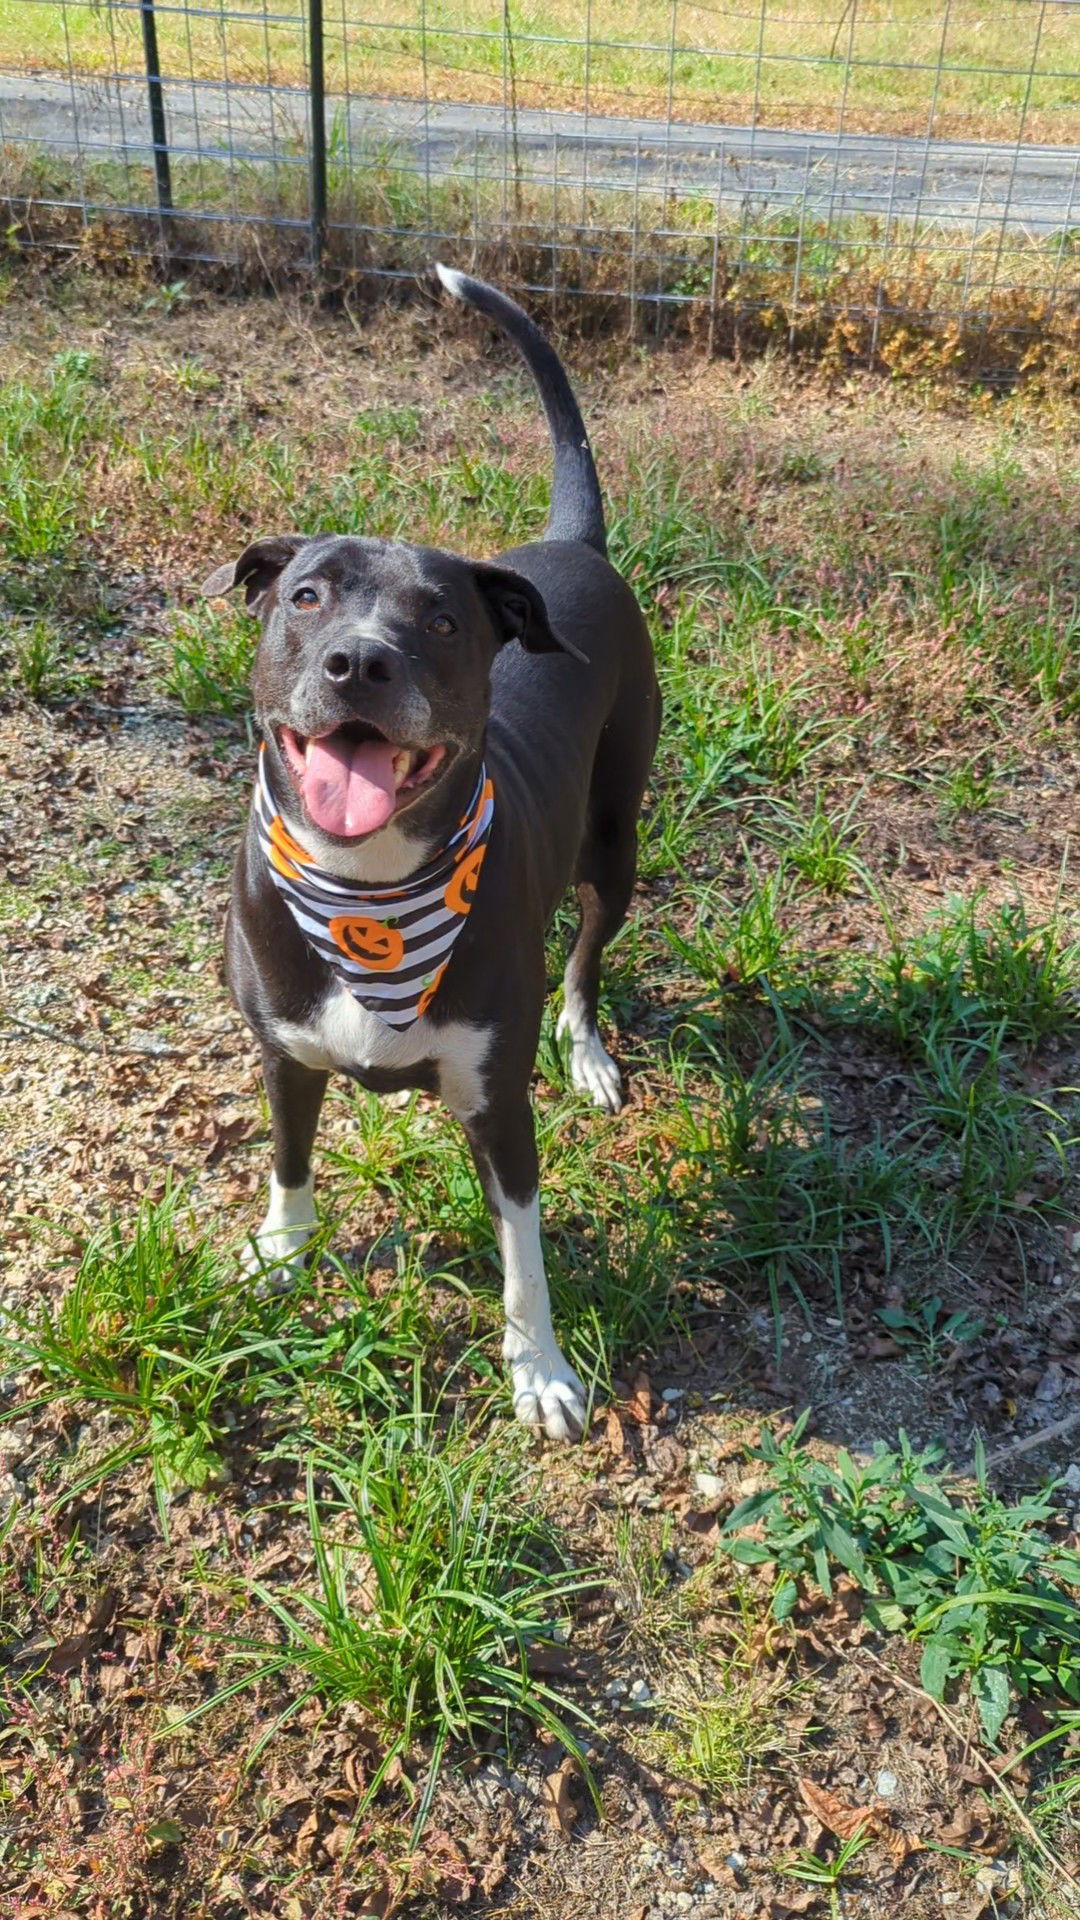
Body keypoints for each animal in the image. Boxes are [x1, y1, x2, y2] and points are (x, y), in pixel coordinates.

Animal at [200, 274, 657, 1443]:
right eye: (305, 595)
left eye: (444, 620)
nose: (358, 663)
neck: (367, 895)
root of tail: (569, 548)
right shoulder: (282, 1054)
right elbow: (289, 1164)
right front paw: (280, 1259)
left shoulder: (497, 1104)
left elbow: (524, 1256)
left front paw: (540, 1370)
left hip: (615, 838)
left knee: (587, 950)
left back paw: (588, 1049)